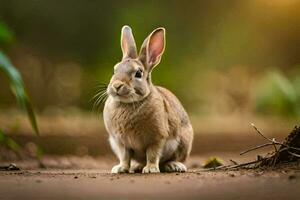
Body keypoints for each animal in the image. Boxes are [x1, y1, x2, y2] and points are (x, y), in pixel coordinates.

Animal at [103, 25, 193, 173]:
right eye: (114, 70)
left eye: (138, 73)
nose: (116, 86)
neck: (129, 103)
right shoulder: (121, 143)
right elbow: (125, 156)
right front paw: (121, 168)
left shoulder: (156, 138)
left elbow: (152, 154)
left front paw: (150, 169)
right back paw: (137, 166)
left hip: (184, 142)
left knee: (171, 159)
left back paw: (174, 166)